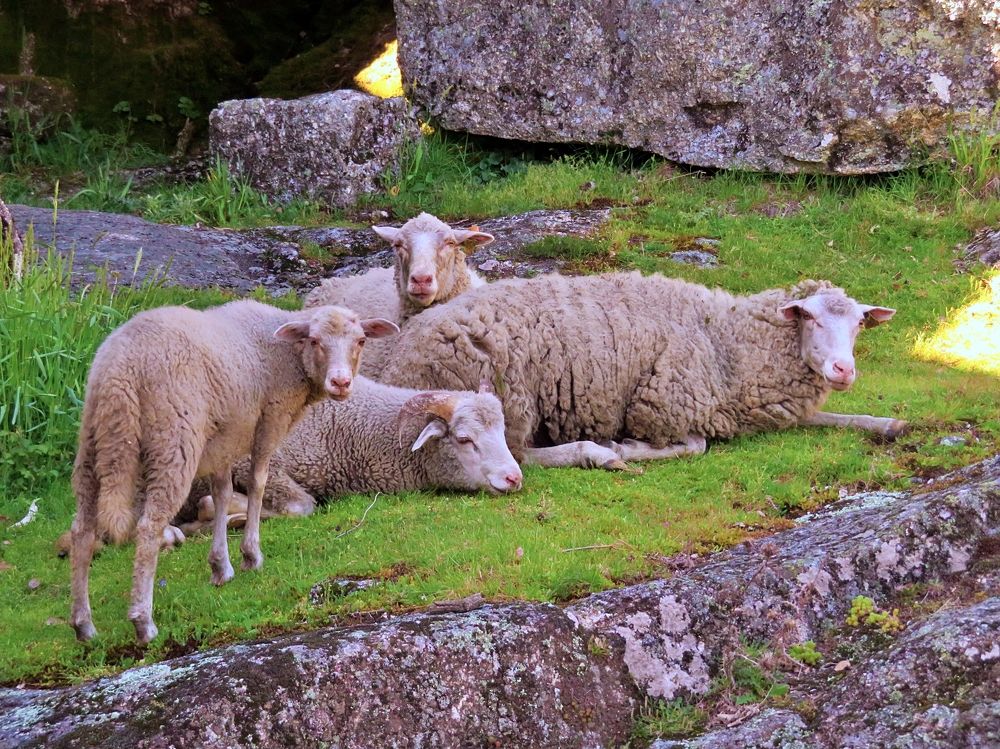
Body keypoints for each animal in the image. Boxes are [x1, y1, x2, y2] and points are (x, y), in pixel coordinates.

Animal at [68, 300, 398, 645]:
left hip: (92, 443)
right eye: (314, 340)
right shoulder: (270, 418)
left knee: (82, 530)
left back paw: (83, 625)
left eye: (361, 341)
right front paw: (251, 556)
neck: (288, 354)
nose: (341, 383)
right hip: (172, 439)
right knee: (148, 527)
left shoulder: (223, 439)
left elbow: (223, 494)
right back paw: (143, 622)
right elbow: (257, 483)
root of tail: (120, 370)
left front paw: (220, 566)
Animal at [177, 377, 523, 533]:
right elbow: (300, 507)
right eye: (464, 439)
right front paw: (221, 515)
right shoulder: (254, 461)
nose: (514, 478)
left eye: (502, 430)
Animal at [376, 273, 904, 470]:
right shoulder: (663, 403)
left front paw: (888, 424)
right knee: (522, 454)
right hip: (510, 394)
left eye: (859, 323)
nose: (843, 369)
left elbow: (839, 418)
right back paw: (597, 453)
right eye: (810, 317)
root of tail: (399, 355)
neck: (725, 342)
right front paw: (628, 447)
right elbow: (695, 445)